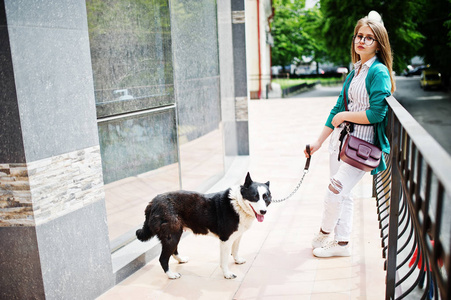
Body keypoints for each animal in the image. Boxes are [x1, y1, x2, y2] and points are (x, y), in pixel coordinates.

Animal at [137, 172, 272, 280]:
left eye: (266, 198)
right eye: (254, 197)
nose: (263, 212)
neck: (237, 203)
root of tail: (153, 202)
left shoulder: (237, 235)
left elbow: (235, 249)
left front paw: (237, 260)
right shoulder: (225, 240)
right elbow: (224, 260)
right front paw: (227, 274)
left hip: (175, 233)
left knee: (173, 251)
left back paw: (181, 260)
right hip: (172, 235)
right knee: (163, 258)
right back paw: (171, 275)